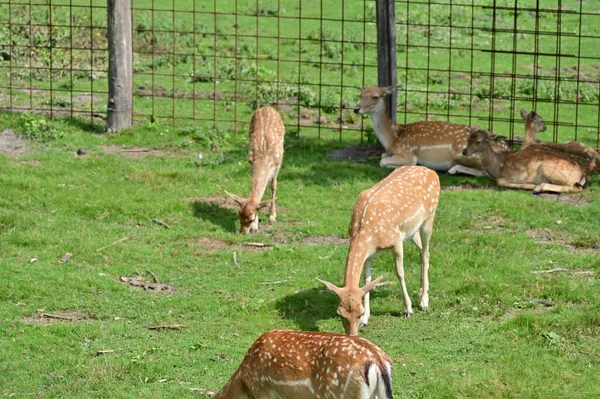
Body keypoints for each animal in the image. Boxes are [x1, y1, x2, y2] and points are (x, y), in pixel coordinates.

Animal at [318, 166, 440, 338]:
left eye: (359, 312)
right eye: (339, 313)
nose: (353, 335)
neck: (367, 234)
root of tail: (431, 171)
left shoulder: (396, 240)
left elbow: (400, 273)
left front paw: (408, 310)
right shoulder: (369, 255)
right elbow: (367, 281)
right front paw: (366, 320)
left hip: (429, 217)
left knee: (426, 254)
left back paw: (423, 302)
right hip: (411, 231)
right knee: (421, 251)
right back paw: (421, 291)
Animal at [354, 85, 508, 176]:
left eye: (375, 96)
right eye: (360, 96)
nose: (356, 109)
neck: (393, 138)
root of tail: (505, 147)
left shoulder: (407, 153)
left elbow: (383, 161)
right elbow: (382, 156)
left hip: (467, 153)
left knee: (485, 172)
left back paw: (453, 169)